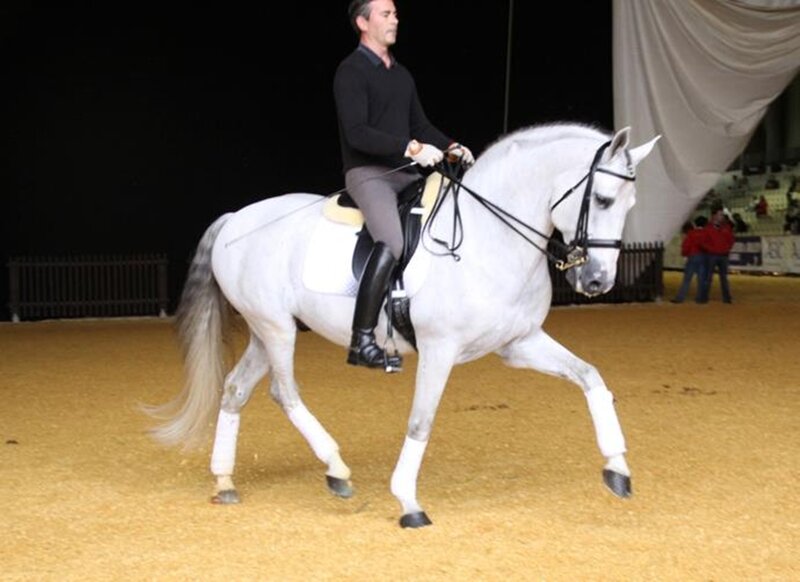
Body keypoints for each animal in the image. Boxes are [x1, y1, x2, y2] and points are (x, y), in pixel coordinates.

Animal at [145, 122, 660, 528]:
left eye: (632, 204)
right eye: (603, 199)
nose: (597, 280)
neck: (489, 237)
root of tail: (236, 218)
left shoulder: (520, 343)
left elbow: (590, 376)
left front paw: (618, 468)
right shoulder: (439, 348)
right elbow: (421, 420)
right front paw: (409, 503)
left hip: (265, 328)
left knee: (236, 389)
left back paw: (225, 480)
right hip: (276, 329)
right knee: (284, 392)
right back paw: (336, 469)